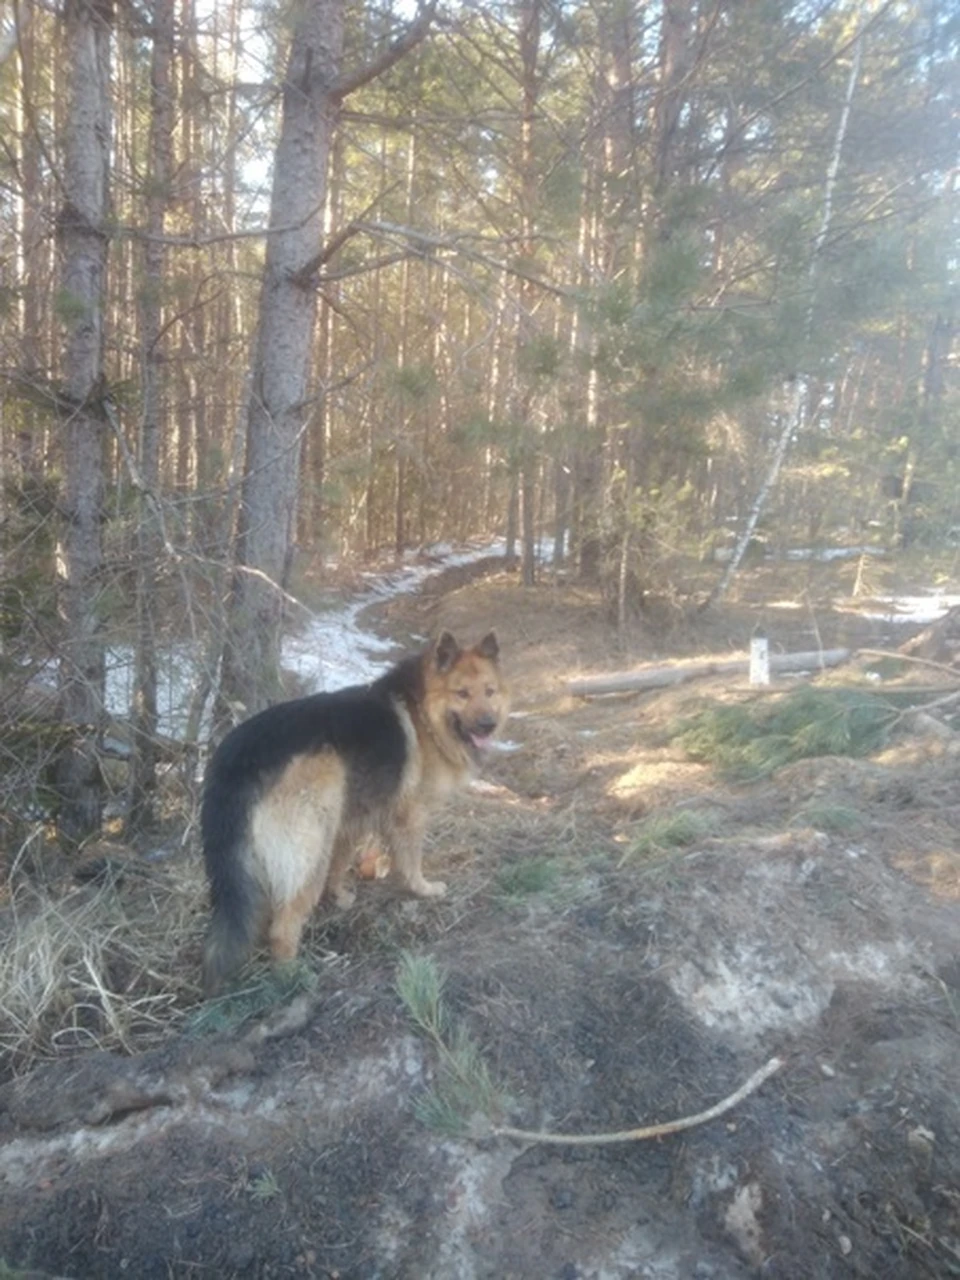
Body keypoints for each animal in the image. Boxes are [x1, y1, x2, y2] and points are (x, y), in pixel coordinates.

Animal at [199, 634, 506, 993]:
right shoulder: (410, 817)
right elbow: (410, 861)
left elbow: (341, 861)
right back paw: (292, 975)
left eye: (489, 691)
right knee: (284, 924)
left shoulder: (351, 820)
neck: (424, 713)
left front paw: (340, 896)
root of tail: (236, 758)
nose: (488, 725)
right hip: (311, 844)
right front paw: (422, 889)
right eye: (462, 694)